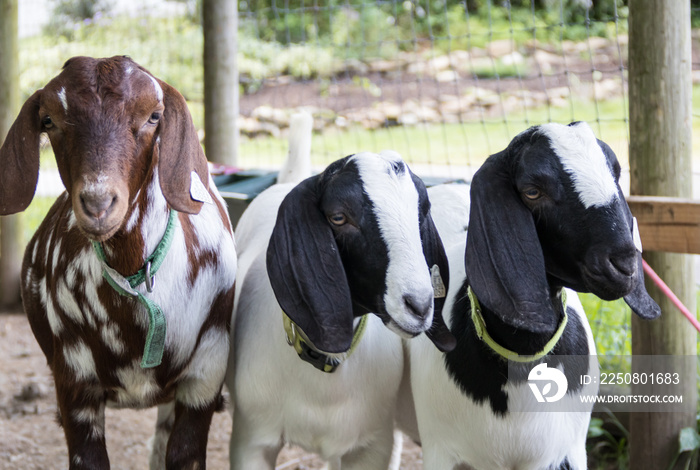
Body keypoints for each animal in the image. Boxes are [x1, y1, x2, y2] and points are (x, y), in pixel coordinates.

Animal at [0, 56, 238, 470]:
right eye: (48, 120)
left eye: (154, 115)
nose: (98, 203)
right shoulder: (74, 385)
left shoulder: (206, 376)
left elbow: (184, 451)